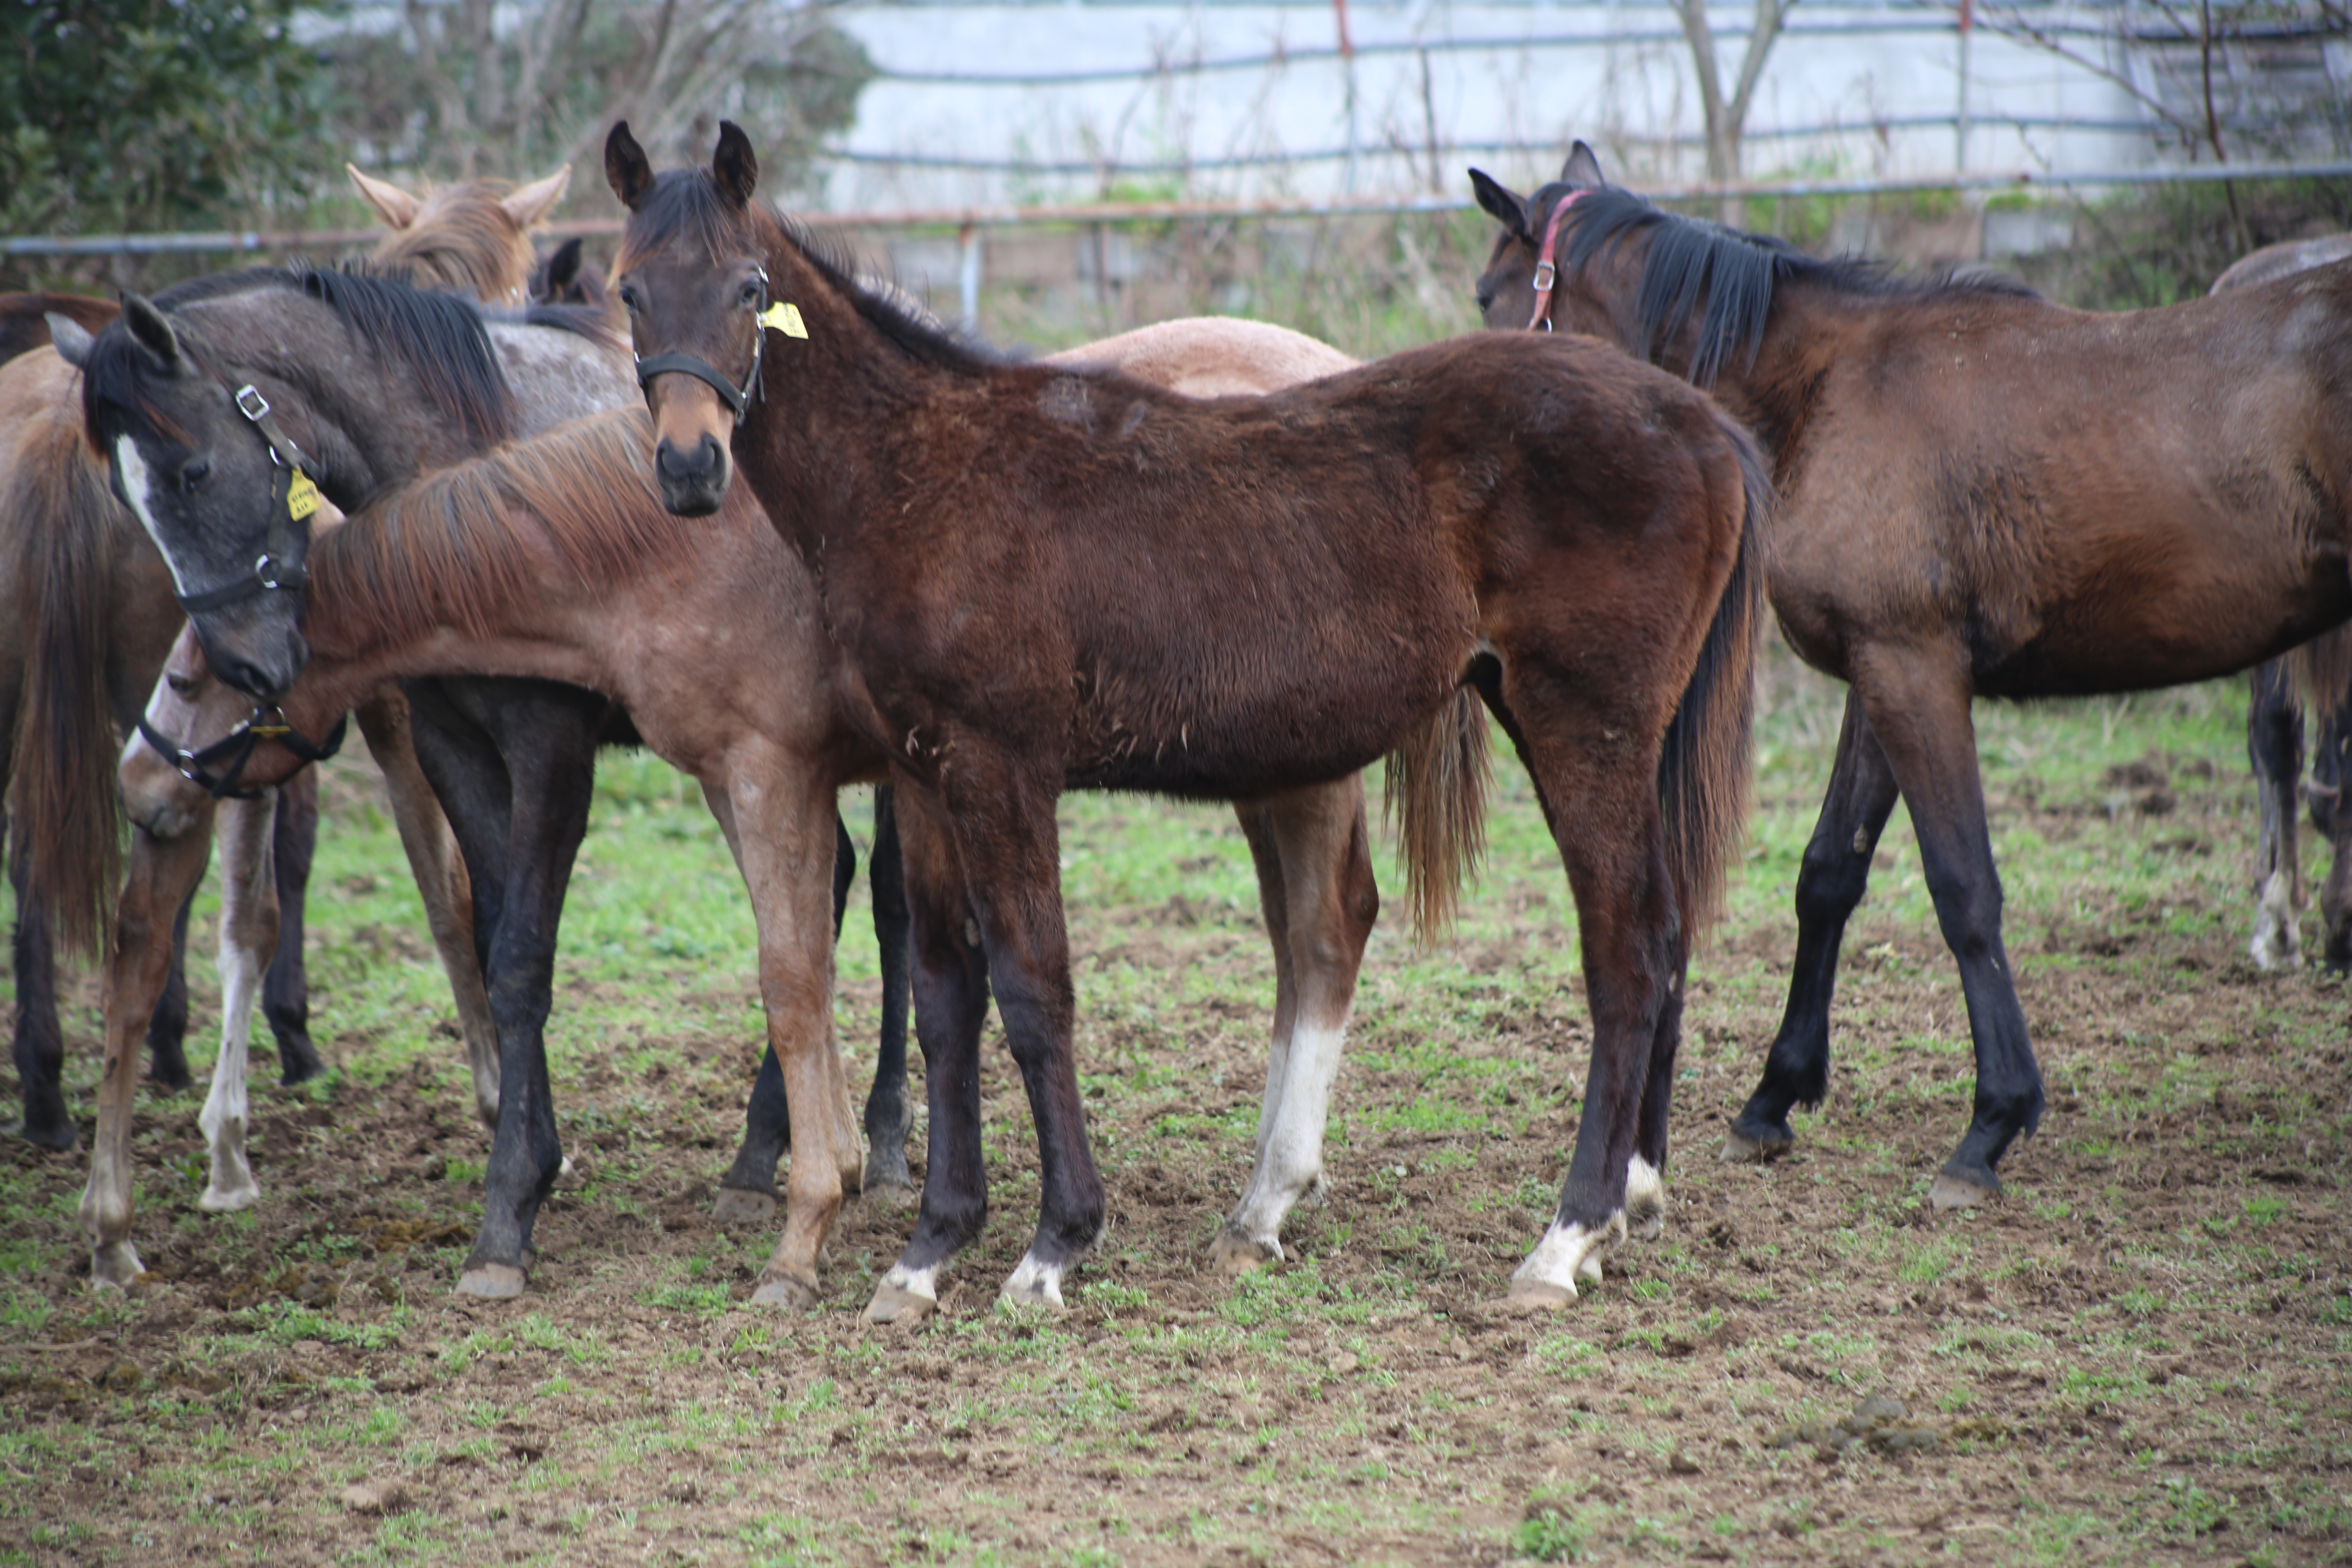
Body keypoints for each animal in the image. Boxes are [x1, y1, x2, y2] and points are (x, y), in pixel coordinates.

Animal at [607, 122, 1768, 1316]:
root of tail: (1702, 424)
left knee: (1622, 950)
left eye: (750, 288)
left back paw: (1561, 1239)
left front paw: (1053, 1245)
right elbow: (944, 995)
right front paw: (927, 1251)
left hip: (1583, 728)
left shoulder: (1002, 771)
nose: (689, 469)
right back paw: (1610, 1203)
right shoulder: (925, 777)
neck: (922, 473)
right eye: (630, 291)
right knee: (1656, 934)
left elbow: (1033, 988)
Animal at [1468, 141, 2352, 1213]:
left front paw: (1990, 1124)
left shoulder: (1914, 668)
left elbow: (1961, 885)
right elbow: (1827, 873)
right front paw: (1774, 1096)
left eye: (1487, 295)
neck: (1825, 386)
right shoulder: (1880, 674)